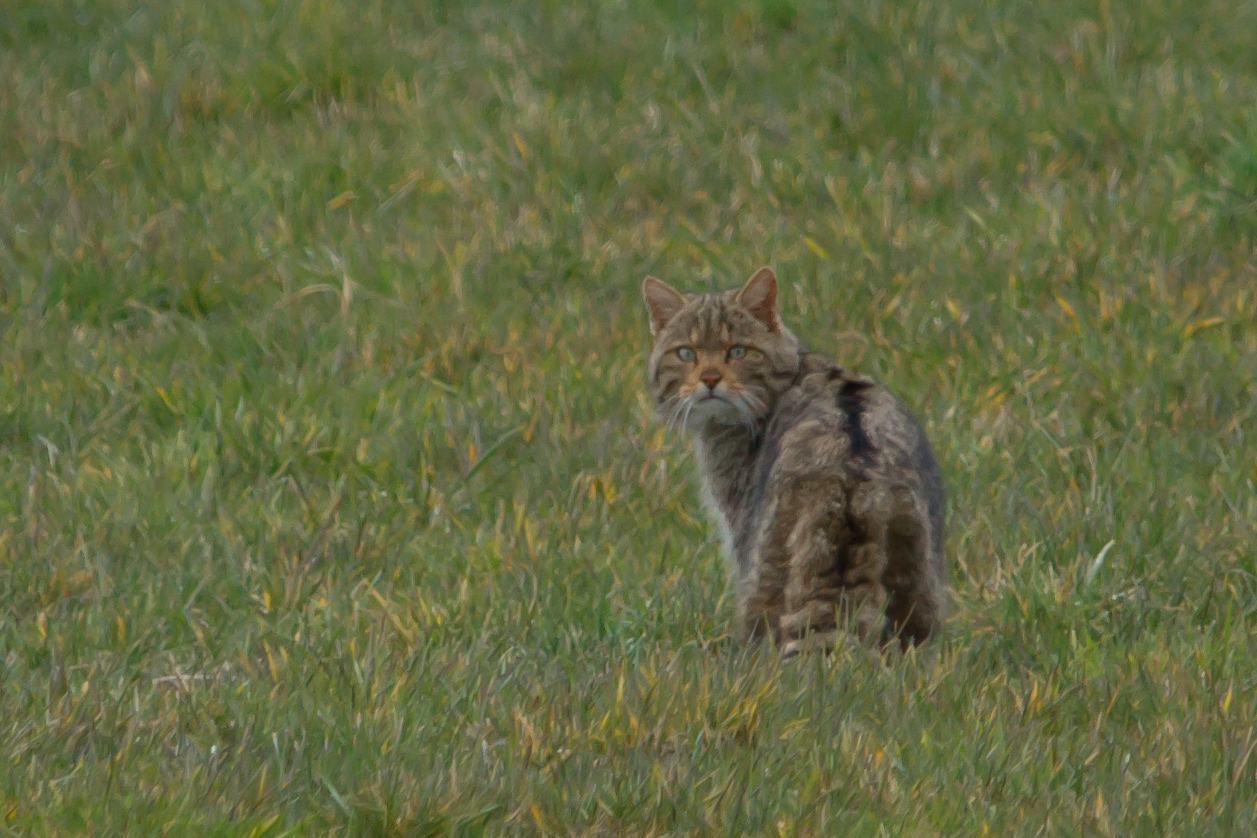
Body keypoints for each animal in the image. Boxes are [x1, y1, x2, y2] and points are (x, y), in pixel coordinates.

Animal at [648, 267, 945, 653]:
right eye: (686, 353)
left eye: (737, 351)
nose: (710, 378)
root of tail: (852, 468)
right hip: (917, 567)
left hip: (766, 563)